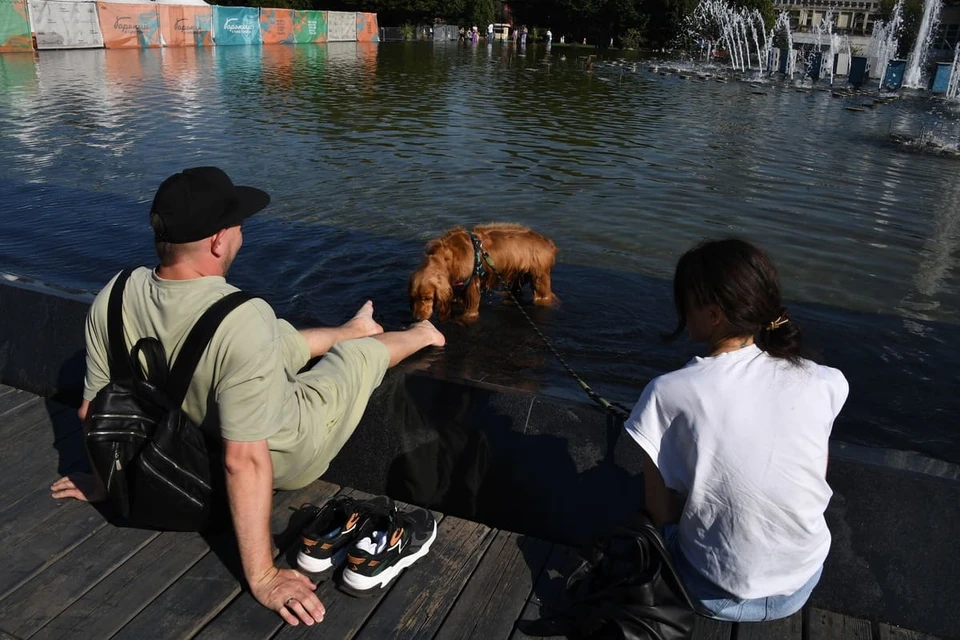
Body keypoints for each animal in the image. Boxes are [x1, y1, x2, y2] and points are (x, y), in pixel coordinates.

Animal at [408, 225, 560, 322]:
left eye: (428, 298)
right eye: (413, 297)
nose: (417, 318)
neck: (449, 257)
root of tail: (549, 243)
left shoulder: (472, 283)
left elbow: (471, 308)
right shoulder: (458, 285)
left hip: (540, 279)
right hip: (519, 275)